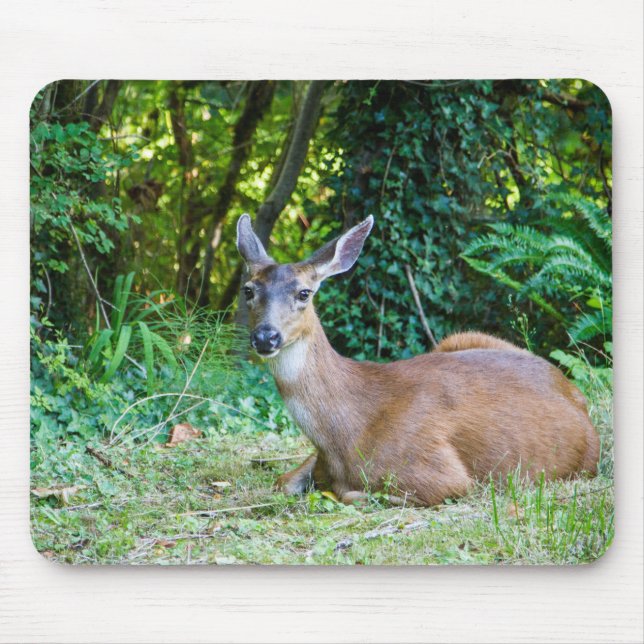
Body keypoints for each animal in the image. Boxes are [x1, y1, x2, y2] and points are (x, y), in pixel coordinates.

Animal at [236, 213, 600, 506]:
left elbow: (352, 494)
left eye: (304, 293)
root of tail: (575, 394)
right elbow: (282, 482)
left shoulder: (446, 477)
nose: (266, 337)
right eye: (248, 290)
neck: (345, 433)